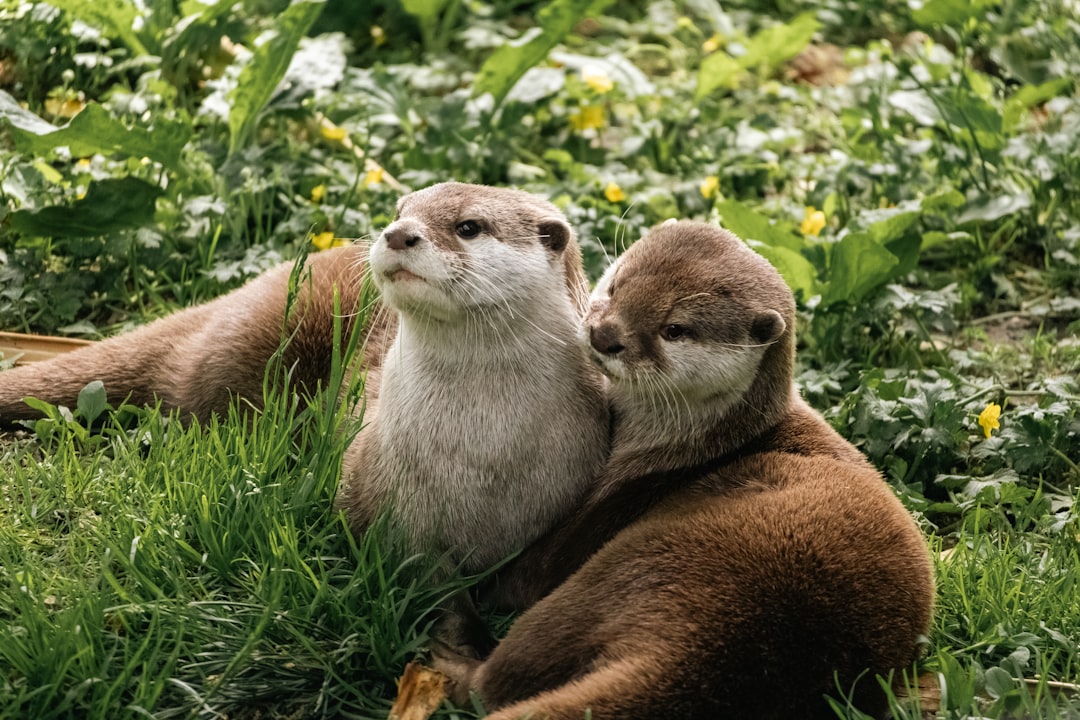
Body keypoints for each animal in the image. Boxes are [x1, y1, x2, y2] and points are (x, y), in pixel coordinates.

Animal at [434, 221, 935, 719]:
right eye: (616, 286)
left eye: (675, 329)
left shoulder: (613, 502)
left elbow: (526, 574)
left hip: (629, 565)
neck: (698, 447)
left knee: (499, 675)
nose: (605, 334)